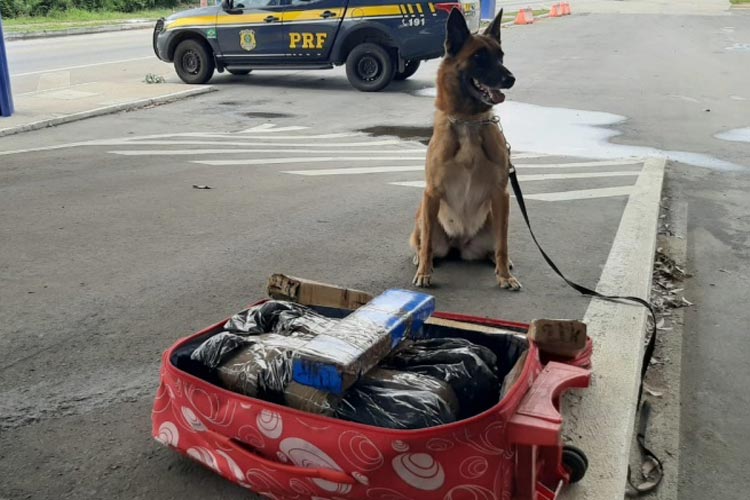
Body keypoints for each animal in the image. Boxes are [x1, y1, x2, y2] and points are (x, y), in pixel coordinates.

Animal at [412, 6, 524, 290]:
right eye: (478, 57)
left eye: (500, 55)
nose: (511, 79)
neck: (469, 121)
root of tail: (459, 244)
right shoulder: (431, 193)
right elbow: (427, 243)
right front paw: (425, 273)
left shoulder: (501, 195)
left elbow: (503, 244)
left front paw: (504, 276)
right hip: (423, 216)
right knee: (425, 243)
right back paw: (421, 259)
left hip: (493, 220)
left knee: (495, 246)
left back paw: (501, 263)